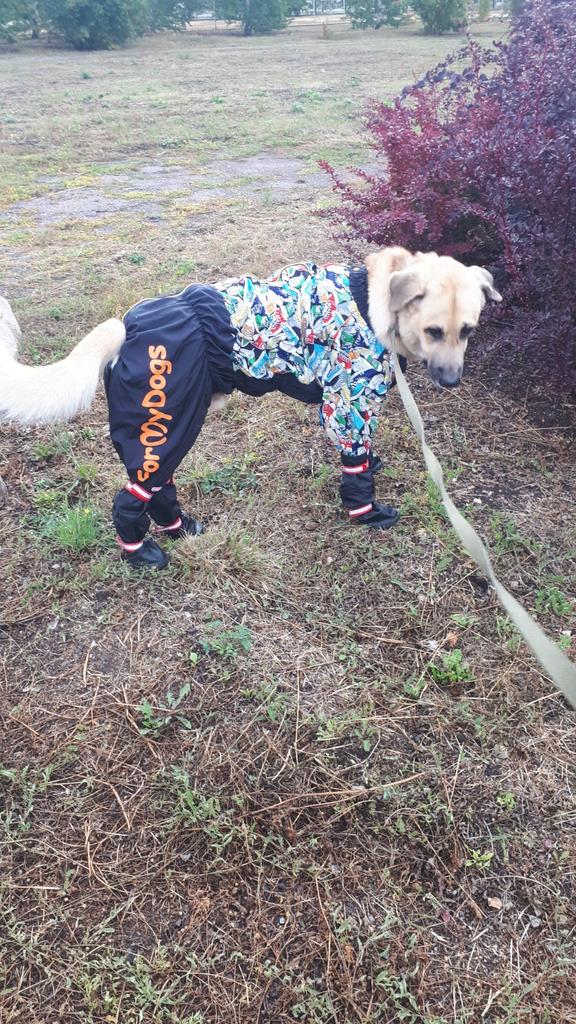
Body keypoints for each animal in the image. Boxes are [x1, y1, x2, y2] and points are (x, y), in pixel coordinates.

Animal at [0, 248, 501, 568]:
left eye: (468, 330)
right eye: (434, 331)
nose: (452, 381)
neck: (373, 300)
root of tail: (127, 327)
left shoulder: (344, 407)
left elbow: (358, 455)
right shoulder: (348, 402)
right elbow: (355, 467)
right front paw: (367, 512)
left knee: (158, 487)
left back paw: (178, 527)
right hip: (165, 424)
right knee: (132, 496)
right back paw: (139, 552)